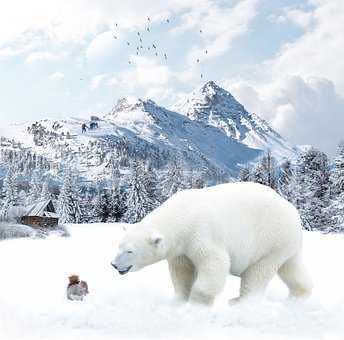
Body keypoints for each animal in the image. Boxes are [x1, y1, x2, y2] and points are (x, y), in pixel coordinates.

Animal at [111, 183, 314, 306]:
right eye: (119, 246)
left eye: (130, 251)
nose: (113, 264)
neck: (184, 215)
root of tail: (294, 213)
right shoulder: (181, 249)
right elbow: (181, 271)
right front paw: (178, 300)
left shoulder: (202, 234)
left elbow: (214, 264)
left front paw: (197, 304)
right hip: (285, 245)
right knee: (291, 267)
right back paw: (299, 295)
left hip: (269, 240)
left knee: (257, 272)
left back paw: (238, 302)